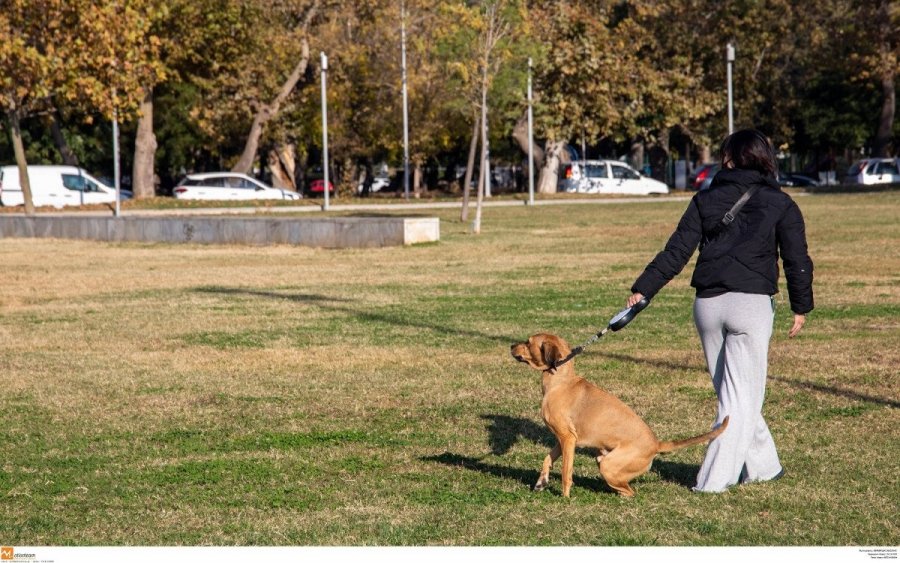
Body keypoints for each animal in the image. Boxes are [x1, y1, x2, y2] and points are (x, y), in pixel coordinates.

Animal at [510, 332, 728, 496]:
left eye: (528, 342)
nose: (511, 345)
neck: (561, 381)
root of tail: (656, 444)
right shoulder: (563, 439)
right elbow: (547, 459)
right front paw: (541, 481)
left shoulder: (567, 439)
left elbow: (566, 472)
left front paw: (565, 497)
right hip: (603, 459)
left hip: (608, 465)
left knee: (629, 492)